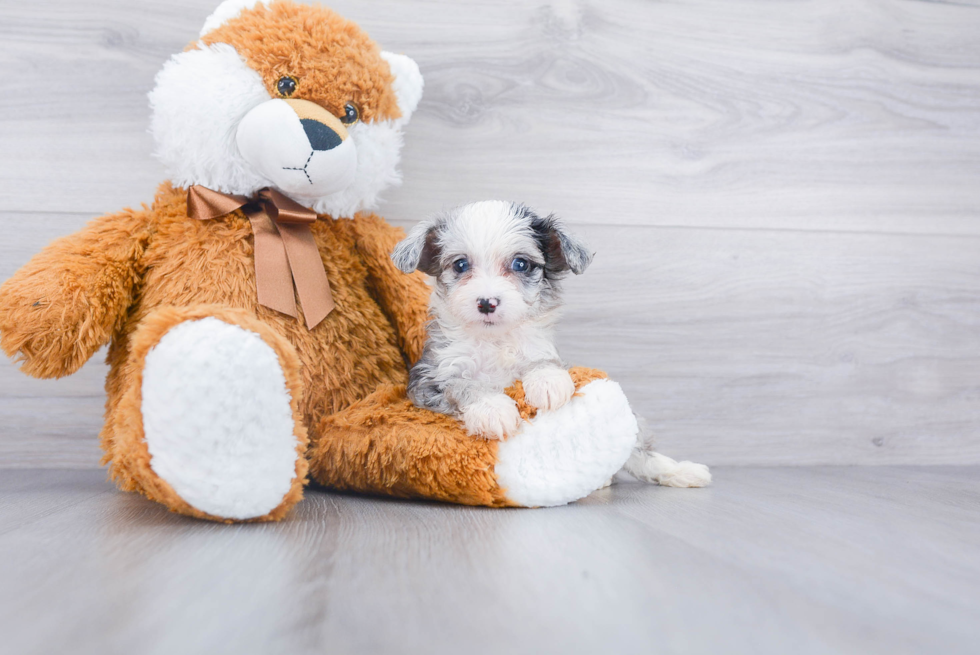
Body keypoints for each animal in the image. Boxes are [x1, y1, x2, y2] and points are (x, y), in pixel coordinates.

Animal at [388, 200, 588, 440]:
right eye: (460, 265)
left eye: (521, 264)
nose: (486, 303)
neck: (493, 341)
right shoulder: (429, 378)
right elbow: (462, 385)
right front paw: (492, 409)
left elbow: (542, 359)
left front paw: (548, 379)